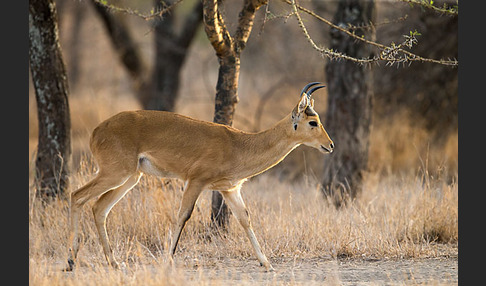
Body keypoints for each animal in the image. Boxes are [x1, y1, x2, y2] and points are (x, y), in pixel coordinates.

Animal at [64, 81, 334, 272]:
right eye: (312, 121)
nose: (330, 145)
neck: (238, 145)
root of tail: (97, 130)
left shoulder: (229, 189)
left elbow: (245, 219)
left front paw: (266, 263)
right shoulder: (195, 181)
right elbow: (182, 215)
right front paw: (168, 261)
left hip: (131, 177)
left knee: (99, 207)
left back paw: (113, 263)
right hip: (116, 173)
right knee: (77, 195)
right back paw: (70, 261)